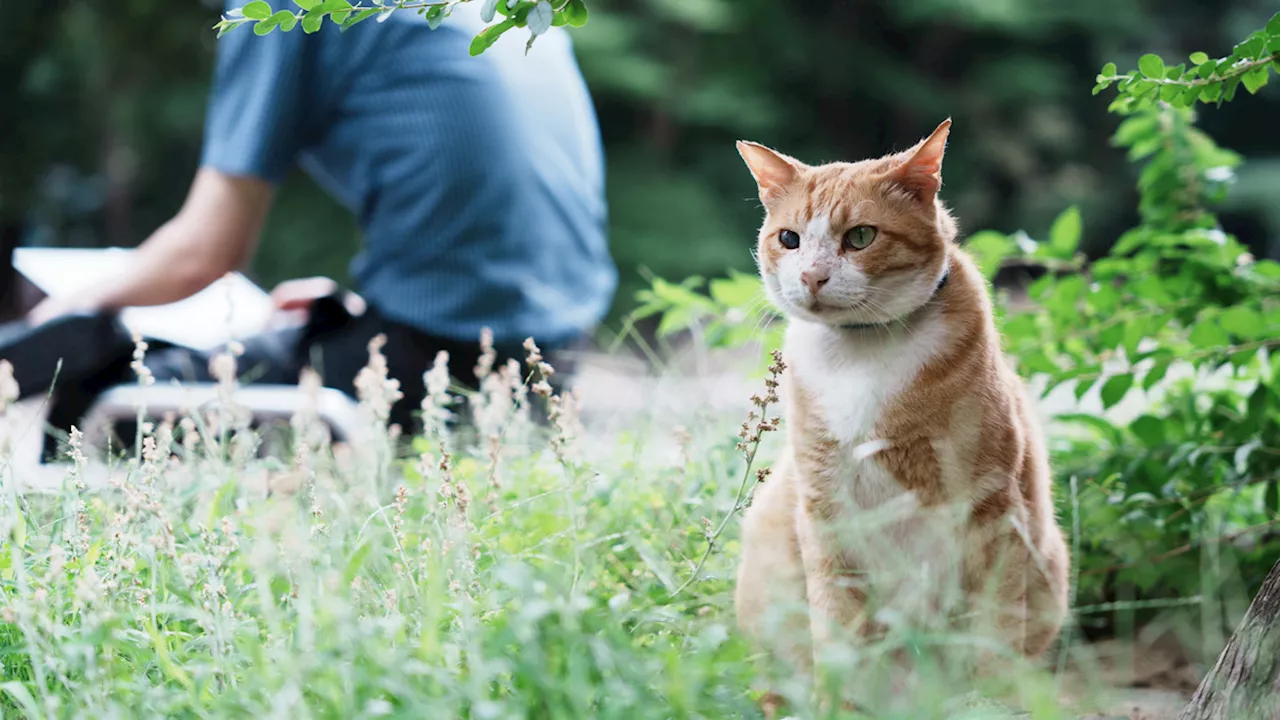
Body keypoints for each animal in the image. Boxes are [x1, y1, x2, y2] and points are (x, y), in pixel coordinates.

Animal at [732, 119, 1070, 702]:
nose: (812, 276)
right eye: (789, 239)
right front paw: (839, 704)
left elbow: (994, 625)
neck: (861, 354)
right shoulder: (825, 510)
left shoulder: (991, 508)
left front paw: (987, 703)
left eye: (860, 237)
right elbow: (837, 628)